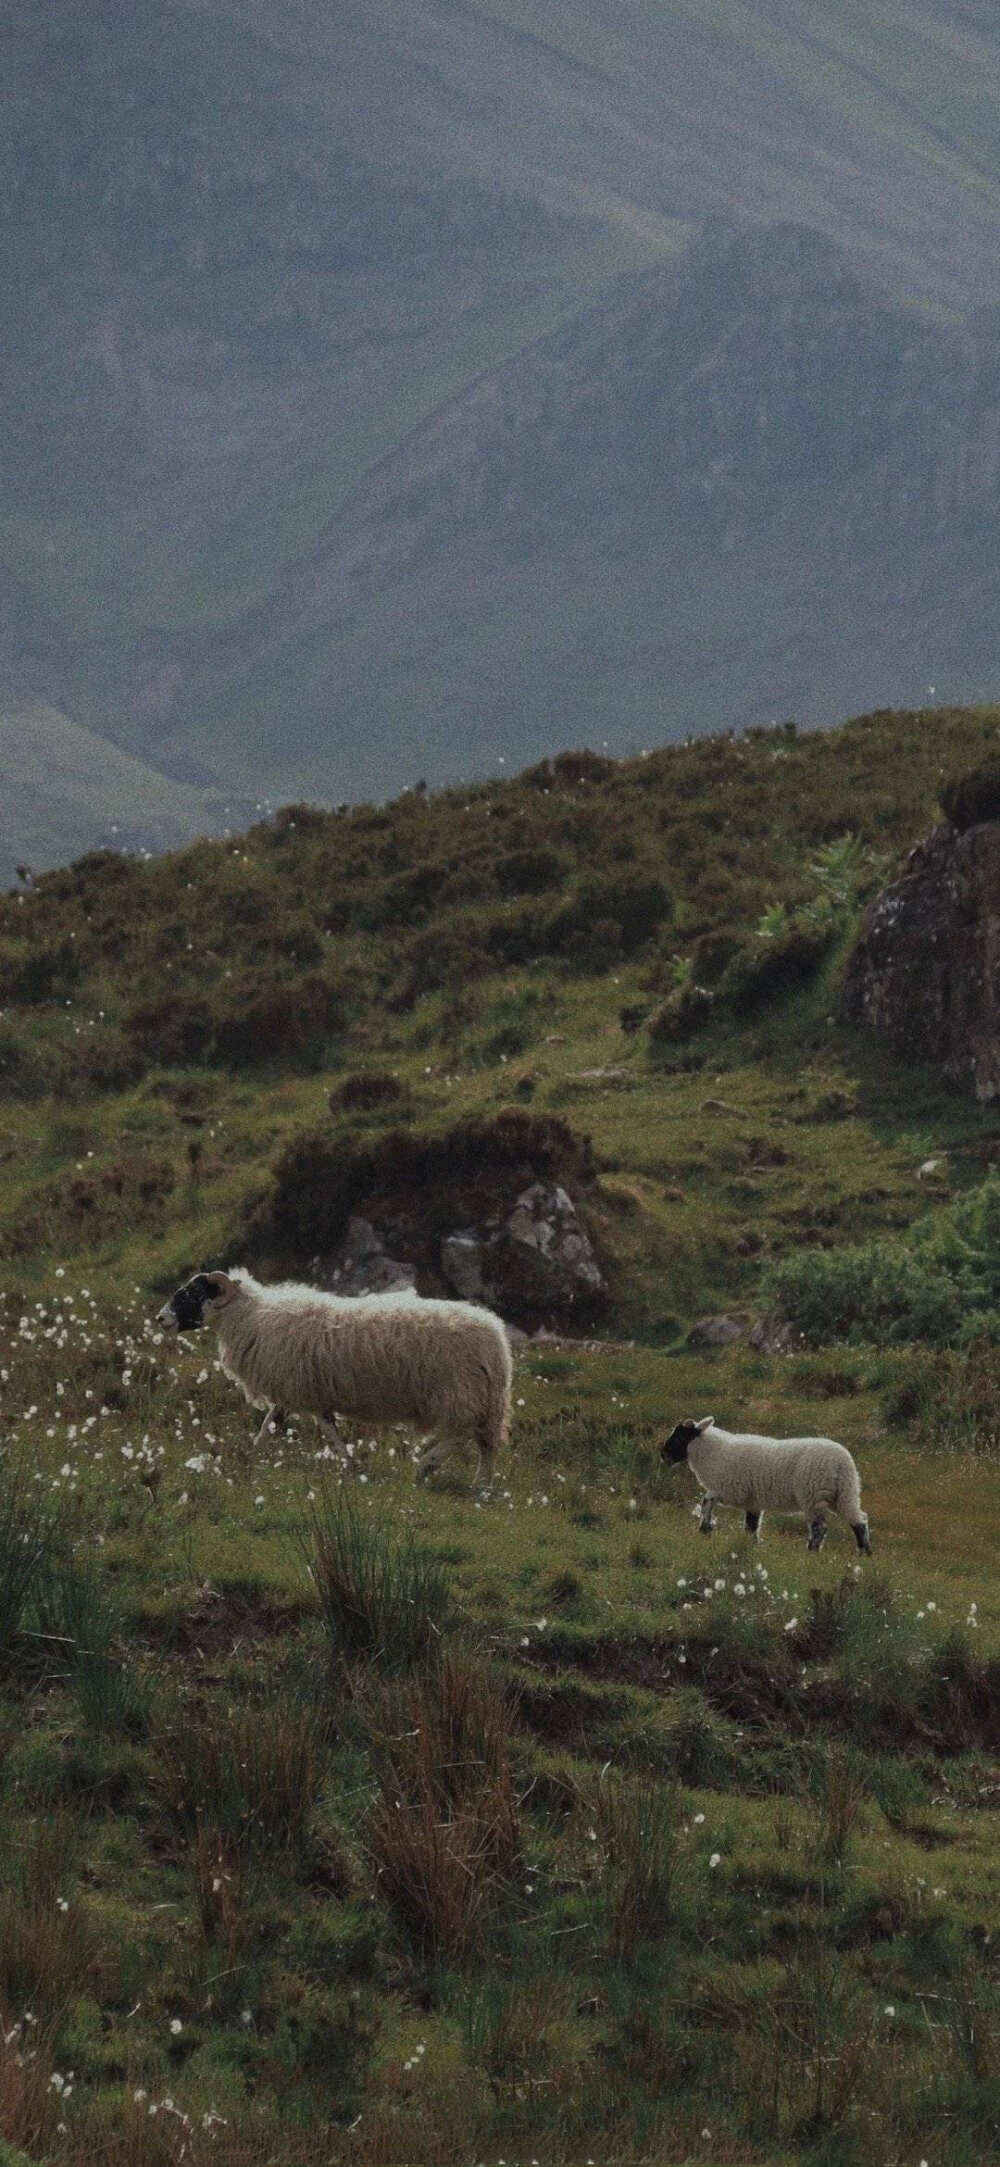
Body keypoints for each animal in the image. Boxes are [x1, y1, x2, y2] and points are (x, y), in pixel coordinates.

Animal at [158, 1265, 514, 1490]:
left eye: (191, 1293)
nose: (161, 1319)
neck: (251, 1318)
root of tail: (495, 1338)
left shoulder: (309, 1392)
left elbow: (329, 1431)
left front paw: (350, 1465)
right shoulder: (292, 1392)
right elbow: (269, 1425)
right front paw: (252, 1454)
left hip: (459, 1393)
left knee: (463, 1434)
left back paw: (426, 1466)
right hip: (484, 1400)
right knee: (486, 1444)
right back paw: (481, 1485)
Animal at [663, 1412, 863, 1551]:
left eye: (679, 1436)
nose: (663, 1456)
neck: (714, 1452)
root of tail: (842, 1462)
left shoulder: (729, 1490)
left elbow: (706, 1500)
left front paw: (704, 1528)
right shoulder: (753, 1502)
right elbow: (751, 1527)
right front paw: (751, 1545)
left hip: (814, 1496)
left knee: (819, 1528)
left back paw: (812, 1552)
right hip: (845, 1492)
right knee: (859, 1520)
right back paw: (863, 1554)